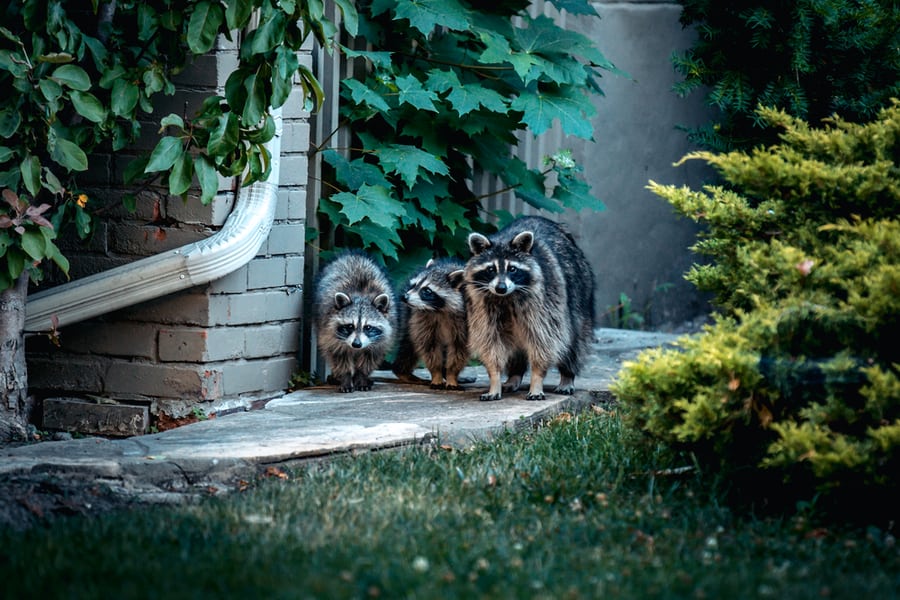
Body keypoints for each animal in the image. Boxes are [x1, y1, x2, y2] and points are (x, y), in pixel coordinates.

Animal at [312, 252, 398, 394]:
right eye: (350, 326)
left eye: (368, 327)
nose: (356, 344)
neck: (361, 295)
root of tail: (353, 254)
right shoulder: (329, 332)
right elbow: (338, 355)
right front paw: (346, 378)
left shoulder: (381, 339)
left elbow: (369, 358)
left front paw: (361, 376)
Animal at [400, 256, 472, 390]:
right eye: (414, 285)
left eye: (427, 291)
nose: (404, 297)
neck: (440, 310)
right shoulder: (422, 319)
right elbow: (429, 347)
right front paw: (437, 374)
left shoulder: (466, 322)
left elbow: (459, 349)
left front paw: (451, 375)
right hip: (407, 316)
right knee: (408, 345)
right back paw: (402, 372)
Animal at [464, 217, 596, 404]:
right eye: (491, 269)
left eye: (512, 269)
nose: (501, 288)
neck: (507, 297)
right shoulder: (483, 307)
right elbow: (490, 342)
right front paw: (494, 379)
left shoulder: (546, 302)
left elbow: (544, 341)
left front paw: (537, 379)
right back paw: (514, 375)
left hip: (580, 293)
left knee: (574, 341)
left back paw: (567, 375)